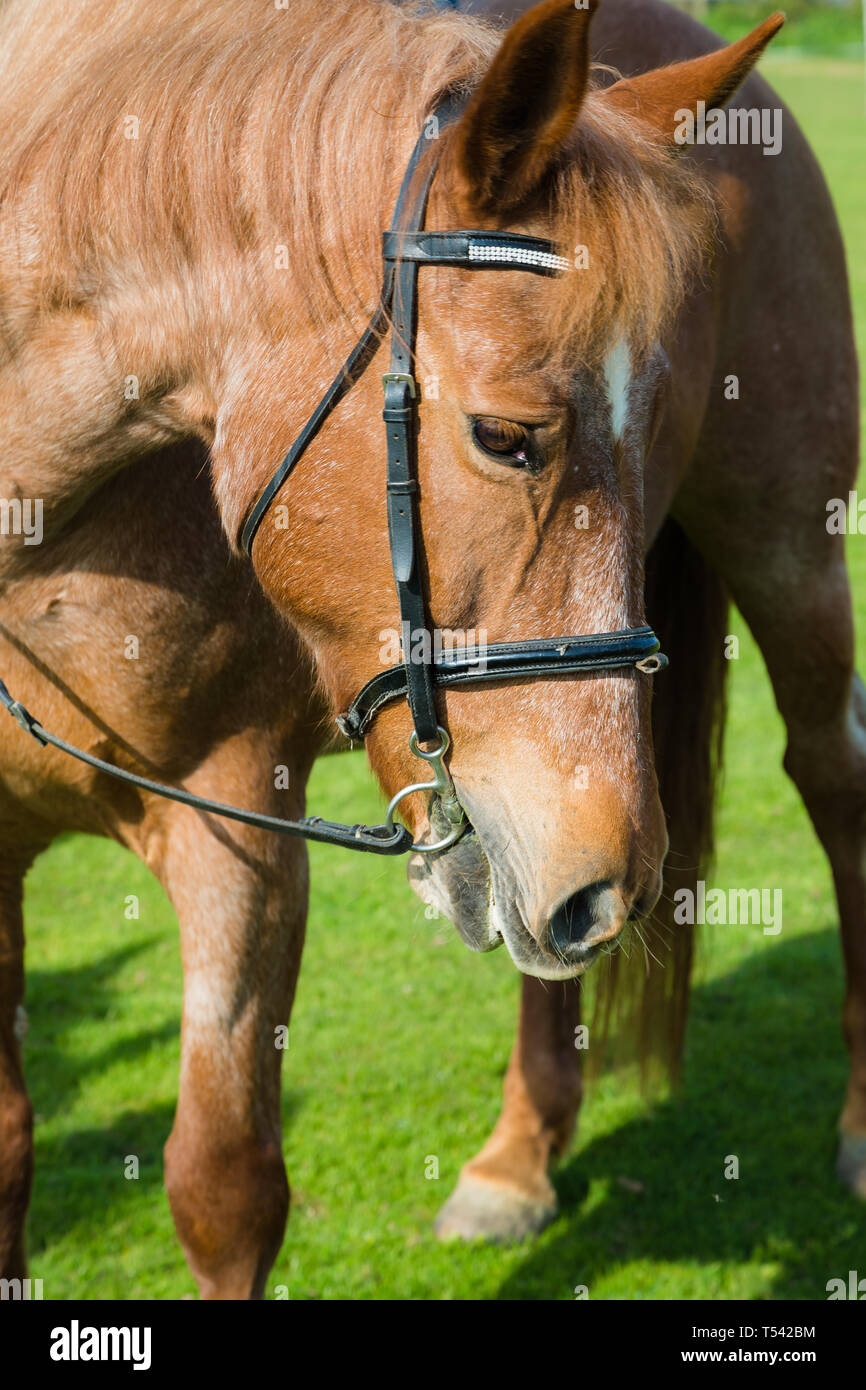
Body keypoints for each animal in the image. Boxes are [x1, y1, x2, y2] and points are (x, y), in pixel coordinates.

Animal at [0, 0, 861, 1299]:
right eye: (506, 438)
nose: (614, 873)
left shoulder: (233, 821)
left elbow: (223, 1184)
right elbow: (10, 1143)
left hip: (787, 553)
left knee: (831, 777)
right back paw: (516, 1158)